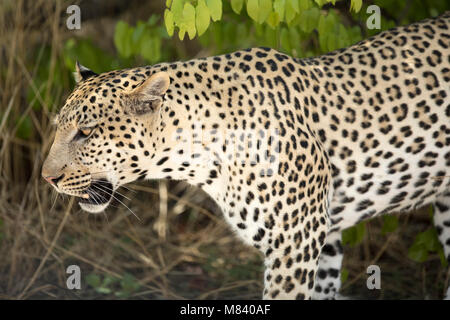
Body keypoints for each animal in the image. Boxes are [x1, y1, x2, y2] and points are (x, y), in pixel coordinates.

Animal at [42, 11, 450, 298]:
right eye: (59, 127)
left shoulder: (297, 239)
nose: (48, 178)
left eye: (86, 133)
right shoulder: (324, 238)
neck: (199, 156)